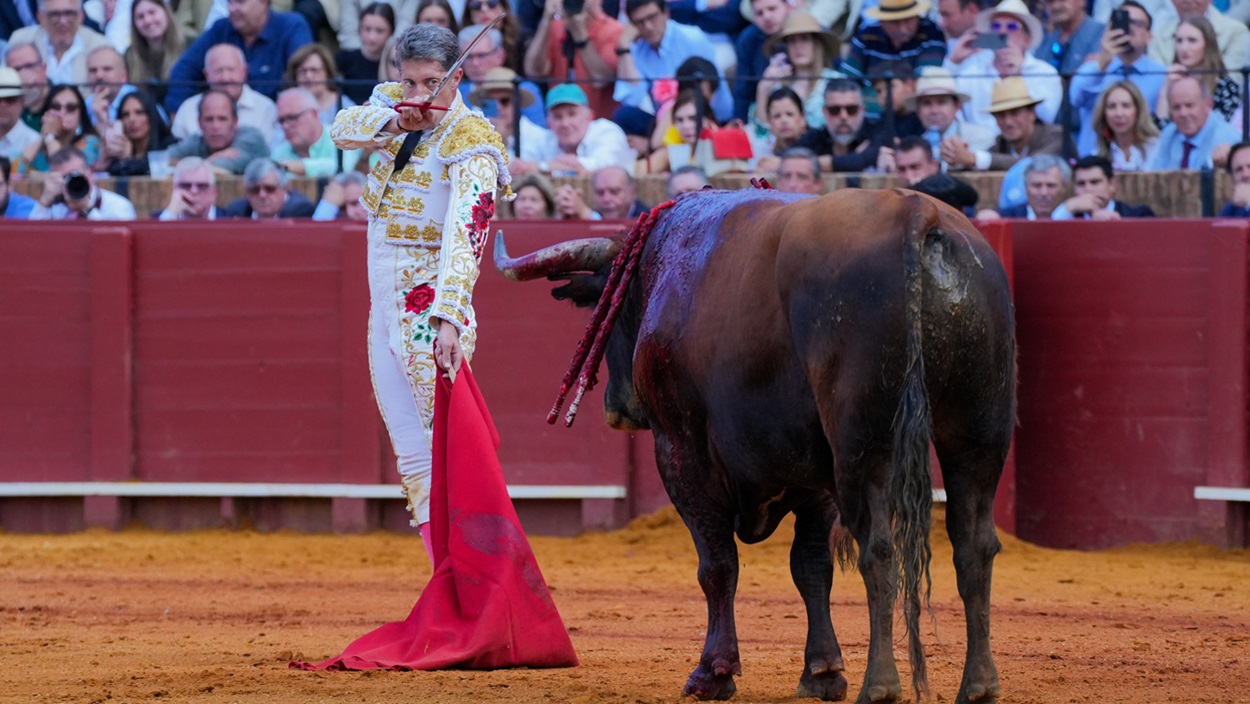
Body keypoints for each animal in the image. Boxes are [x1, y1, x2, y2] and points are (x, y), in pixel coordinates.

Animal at [492, 188, 1010, 704]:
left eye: (611, 308)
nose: (616, 409)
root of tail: (917, 213)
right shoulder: (818, 481)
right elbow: (811, 565)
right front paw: (822, 672)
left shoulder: (680, 453)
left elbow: (717, 564)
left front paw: (713, 672)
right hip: (978, 434)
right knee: (975, 545)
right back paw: (979, 684)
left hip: (865, 443)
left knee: (879, 549)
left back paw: (879, 686)